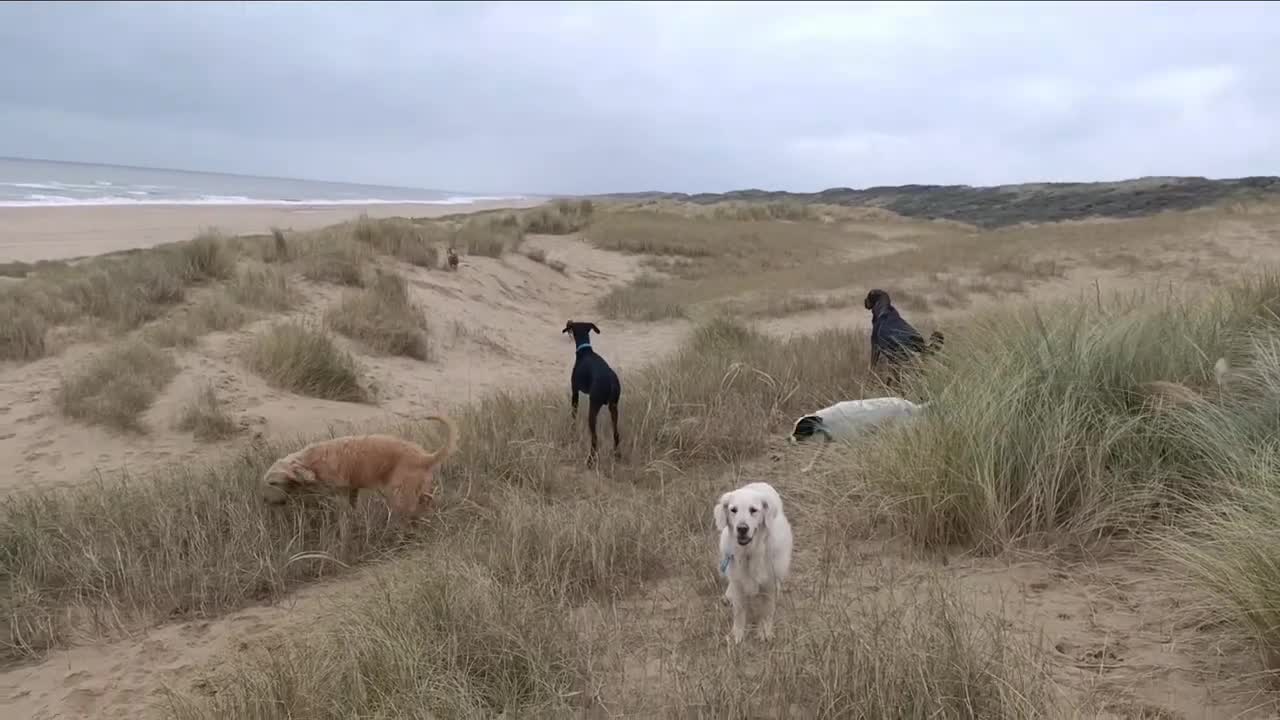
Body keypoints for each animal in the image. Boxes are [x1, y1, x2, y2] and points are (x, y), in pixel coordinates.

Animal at [261, 412, 460, 517]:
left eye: (273, 482)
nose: (263, 501)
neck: (310, 462)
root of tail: (424, 456)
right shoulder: (352, 489)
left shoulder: (340, 491)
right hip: (418, 489)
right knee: (427, 501)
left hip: (400, 493)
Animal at [563, 319, 622, 466]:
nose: (568, 322)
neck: (585, 350)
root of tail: (610, 383)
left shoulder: (575, 391)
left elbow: (573, 414)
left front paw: (572, 432)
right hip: (614, 407)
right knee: (616, 433)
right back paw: (617, 455)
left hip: (594, 407)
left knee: (595, 438)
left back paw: (590, 461)